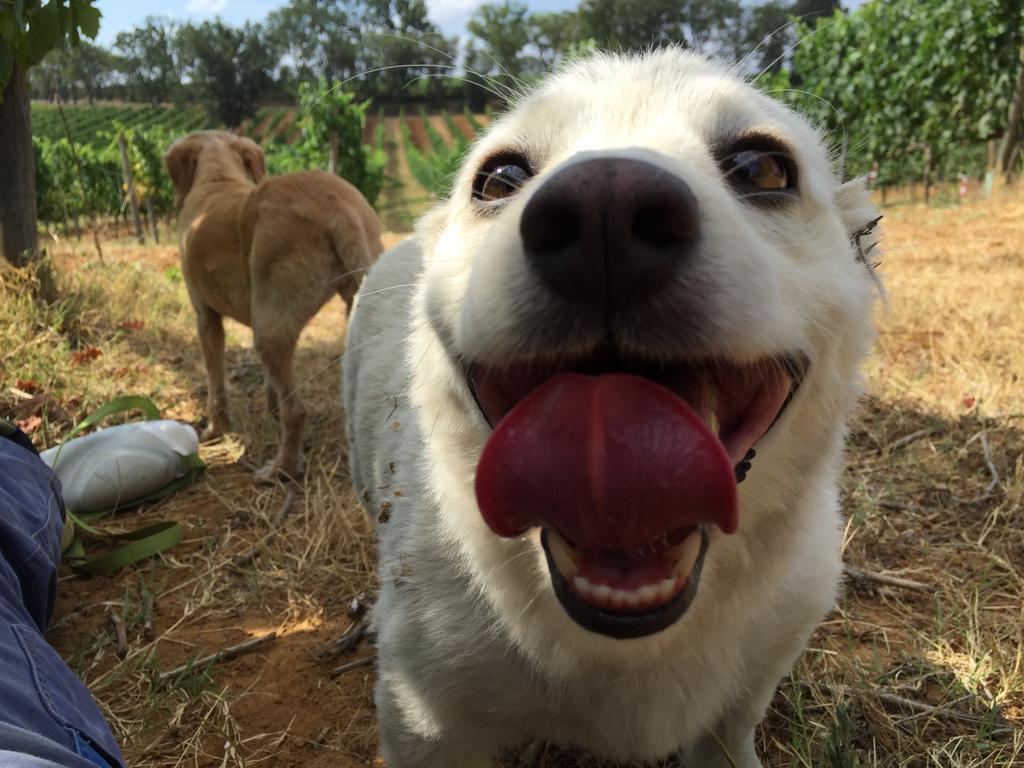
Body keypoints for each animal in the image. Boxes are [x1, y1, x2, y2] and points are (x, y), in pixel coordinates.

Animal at [165, 132, 382, 481]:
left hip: (269, 331)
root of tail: (336, 205)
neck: (217, 176)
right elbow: (272, 387)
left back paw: (280, 469)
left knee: (298, 411)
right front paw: (271, 412)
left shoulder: (206, 318)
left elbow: (216, 384)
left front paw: (215, 430)